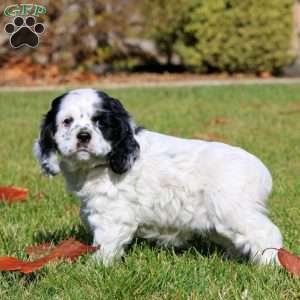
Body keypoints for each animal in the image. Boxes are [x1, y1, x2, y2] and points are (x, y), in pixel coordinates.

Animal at [34, 88, 282, 264]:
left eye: (101, 123)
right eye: (67, 121)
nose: (83, 136)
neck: (104, 162)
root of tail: (261, 170)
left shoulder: (112, 215)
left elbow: (106, 244)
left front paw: (95, 266)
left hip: (234, 212)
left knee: (267, 234)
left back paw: (269, 266)